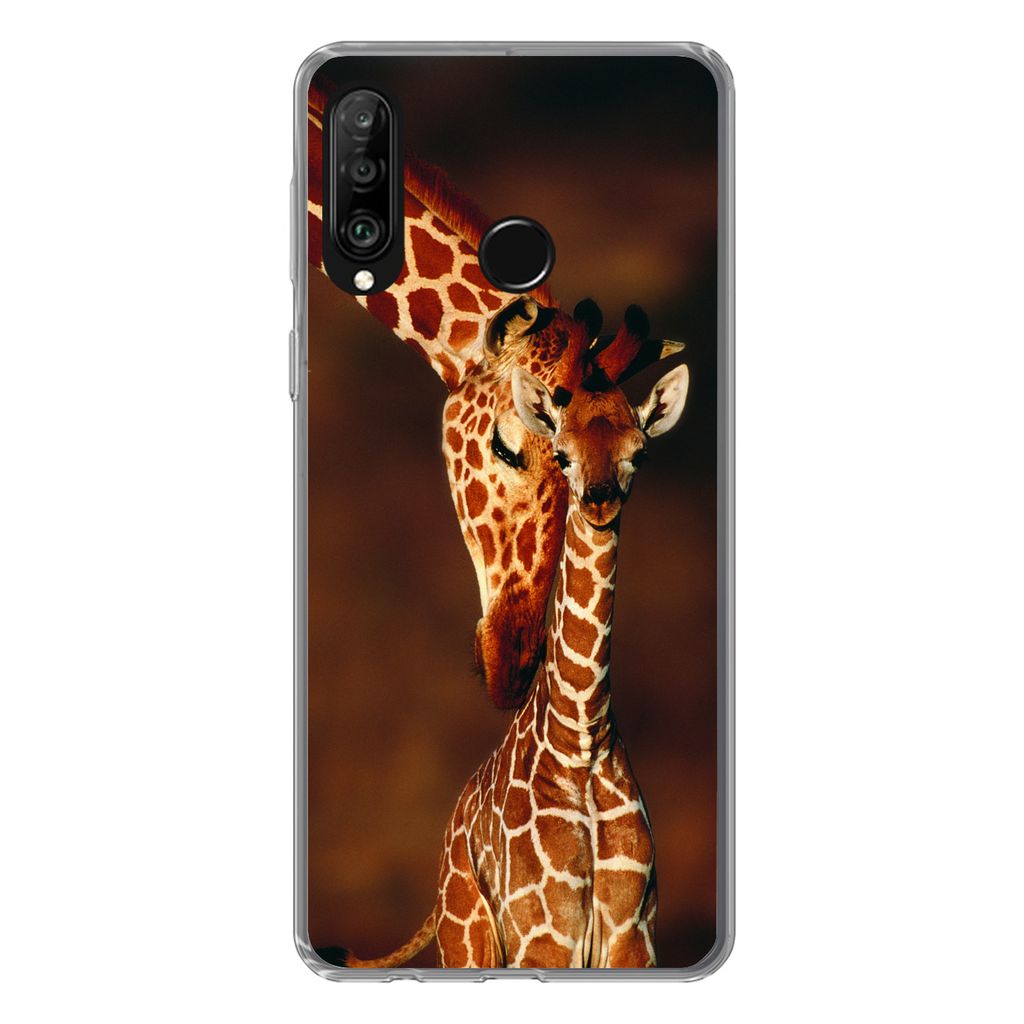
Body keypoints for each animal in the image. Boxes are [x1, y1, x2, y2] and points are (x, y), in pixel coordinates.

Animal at [334, 347, 691, 969]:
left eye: (639, 452)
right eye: (562, 454)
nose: (599, 501)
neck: (582, 739)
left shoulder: (633, 938)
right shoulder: (543, 937)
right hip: (469, 941)